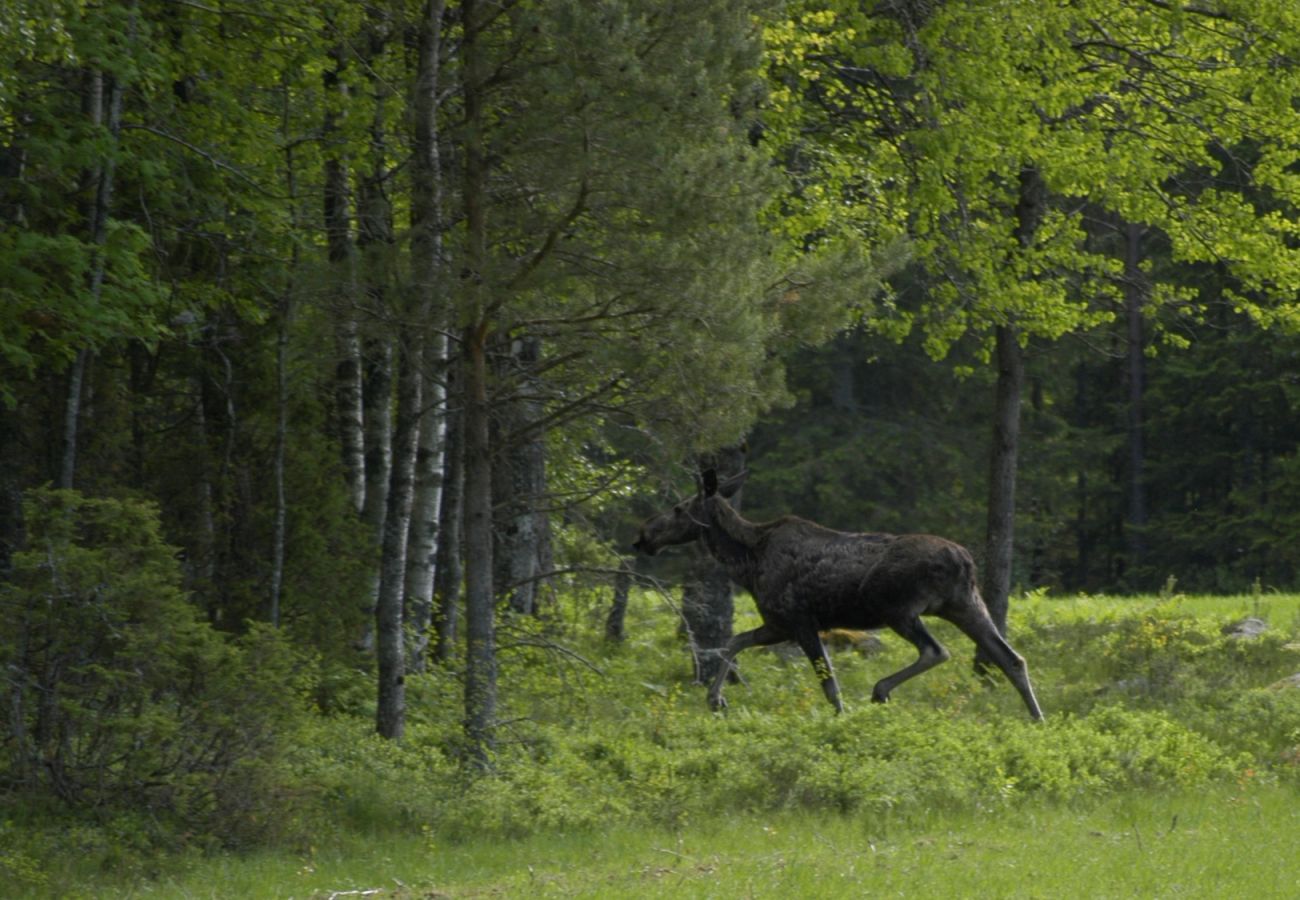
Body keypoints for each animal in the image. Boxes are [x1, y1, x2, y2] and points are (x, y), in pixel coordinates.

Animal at [631, 468, 1045, 723]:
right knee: (1012, 658)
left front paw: (840, 719)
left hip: (899, 609)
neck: (746, 562)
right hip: (965, 605)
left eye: (678, 508)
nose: (642, 535)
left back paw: (881, 691)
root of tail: (964, 560)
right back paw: (1037, 719)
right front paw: (716, 700)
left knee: (936, 650)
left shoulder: (799, 620)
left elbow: (828, 684)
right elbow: (735, 641)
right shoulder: (777, 623)